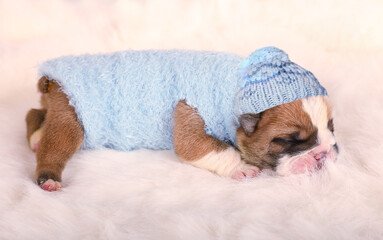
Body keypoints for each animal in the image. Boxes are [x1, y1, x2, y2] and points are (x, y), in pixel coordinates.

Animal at [26, 47, 340, 191]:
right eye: (287, 140)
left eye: (331, 127)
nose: (324, 153)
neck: (232, 89)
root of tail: (51, 81)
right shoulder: (190, 114)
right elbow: (210, 148)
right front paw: (242, 168)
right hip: (72, 116)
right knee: (56, 141)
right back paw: (49, 177)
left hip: (60, 107)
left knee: (34, 113)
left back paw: (36, 138)